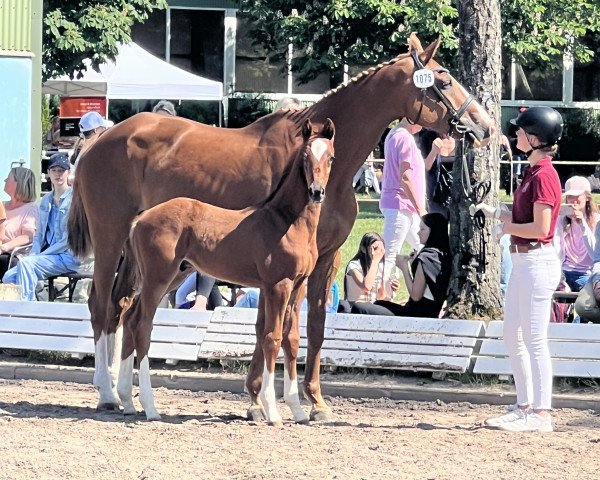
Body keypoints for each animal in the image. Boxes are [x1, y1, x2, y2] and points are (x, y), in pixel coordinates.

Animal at [119, 119, 336, 424]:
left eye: (331, 157)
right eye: (305, 157)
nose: (317, 191)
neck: (286, 222)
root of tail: (139, 219)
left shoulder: (298, 285)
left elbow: (291, 341)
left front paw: (297, 410)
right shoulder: (277, 285)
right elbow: (272, 338)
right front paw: (272, 411)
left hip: (174, 275)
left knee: (128, 318)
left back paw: (126, 401)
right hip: (157, 278)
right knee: (142, 325)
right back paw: (150, 408)